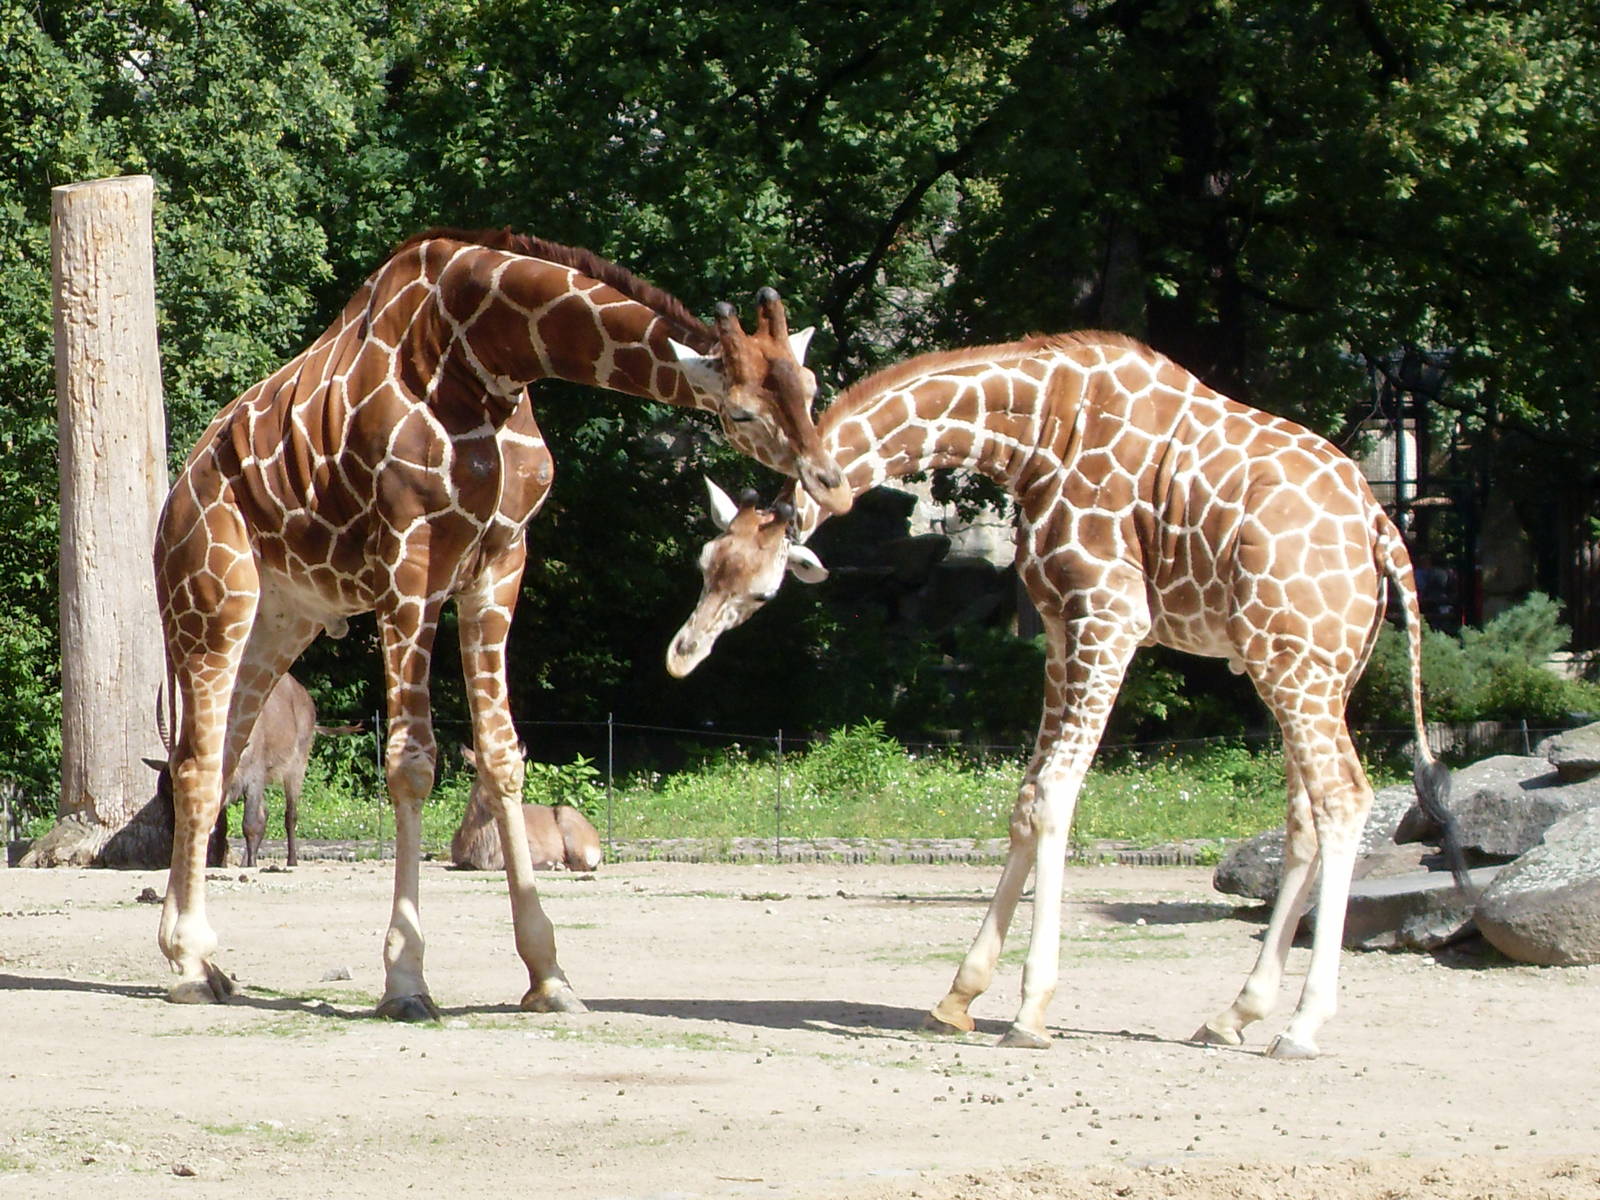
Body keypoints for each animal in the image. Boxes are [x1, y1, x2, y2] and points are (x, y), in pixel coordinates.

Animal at [153, 227, 850, 1020]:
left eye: (811, 386)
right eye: (741, 413)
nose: (828, 482)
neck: (483, 357)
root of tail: (175, 500)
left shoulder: (501, 561)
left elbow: (503, 754)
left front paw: (549, 975)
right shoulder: (411, 564)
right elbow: (412, 764)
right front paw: (405, 979)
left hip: (279, 621)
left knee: (209, 760)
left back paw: (205, 961)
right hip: (212, 603)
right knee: (198, 763)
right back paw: (187, 964)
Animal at [666, 331, 1462, 1058]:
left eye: (763, 590)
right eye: (706, 562)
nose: (682, 655)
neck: (1035, 434)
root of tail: (1383, 527)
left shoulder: (1108, 615)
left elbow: (1054, 794)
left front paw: (1028, 1011)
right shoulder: (1055, 622)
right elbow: (1025, 797)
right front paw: (957, 997)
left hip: (1295, 661)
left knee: (1344, 797)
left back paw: (1301, 1027)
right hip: (1314, 668)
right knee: (1304, 814)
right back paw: (1234, 1014)